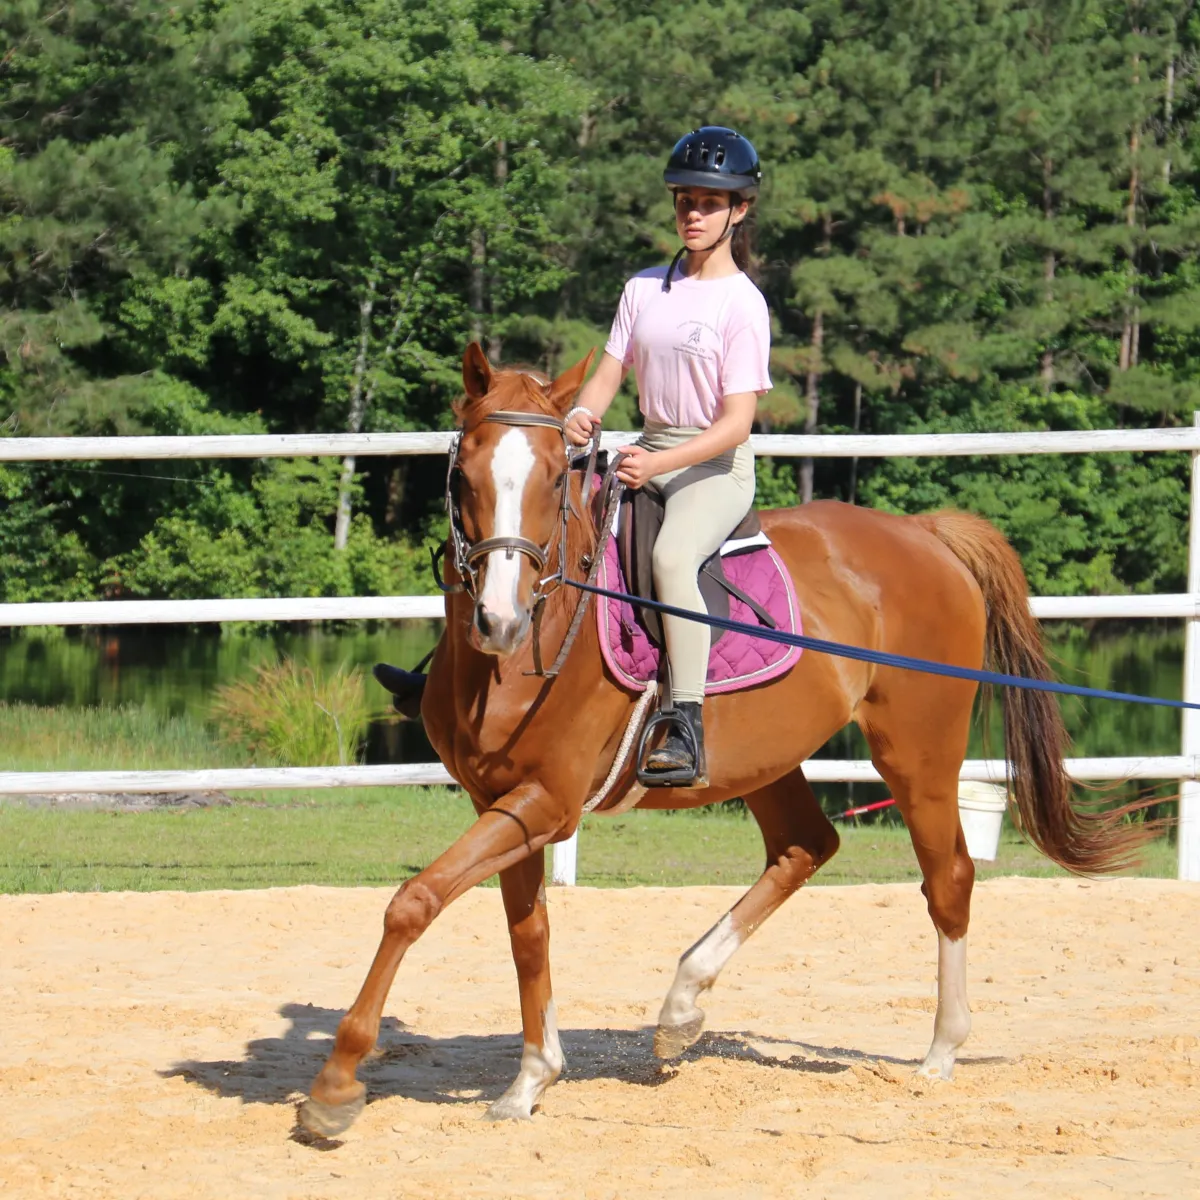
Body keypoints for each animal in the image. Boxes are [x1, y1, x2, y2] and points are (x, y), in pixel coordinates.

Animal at [299, 343, 1150, 1135]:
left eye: (550, 478)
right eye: (464, 475)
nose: (500, 621)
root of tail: (926, 535)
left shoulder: (546, 802)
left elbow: (413, 903)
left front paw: (336, 1087)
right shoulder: (502, 801)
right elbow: (526, 935)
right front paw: (530, 1082)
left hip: (919, 755)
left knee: (949, 882)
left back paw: (940, 1053)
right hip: (765, 760)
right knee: (806, 846)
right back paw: (681, 1009)